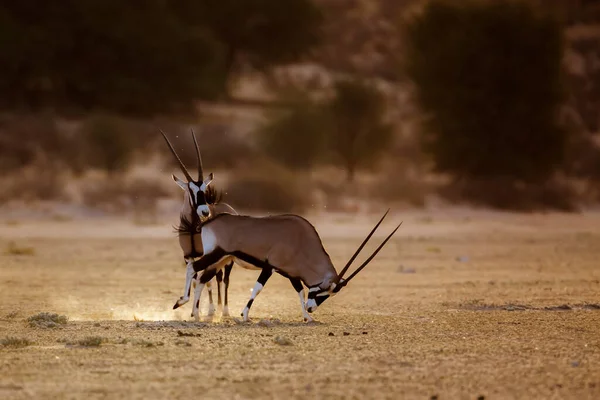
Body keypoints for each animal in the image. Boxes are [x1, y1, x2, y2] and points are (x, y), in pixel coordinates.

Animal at [159, 130, 237, 318]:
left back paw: (223, 310)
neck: (194, 227)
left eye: (204, 189)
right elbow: (196, 279)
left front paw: (203, 309)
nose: (204, 212)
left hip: (228, 258)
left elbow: (206, 280)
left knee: (224, 279)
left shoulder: (205, 254)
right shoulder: (188, 255)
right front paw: (191, 307)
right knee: (216, 276)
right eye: (191, 190)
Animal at [190, 211, 400, 324]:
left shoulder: (292, 274)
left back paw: (196, 314)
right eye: (323, 291)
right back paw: (190, 309)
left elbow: (300, 292)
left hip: (221, 259)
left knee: (201, 278)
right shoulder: (270, 267)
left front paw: (307, 317)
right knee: (193, 269)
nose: (312, 308)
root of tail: (208, 222)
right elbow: (257, 289)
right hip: (216, 255)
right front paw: (245, 315)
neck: (302, 241)